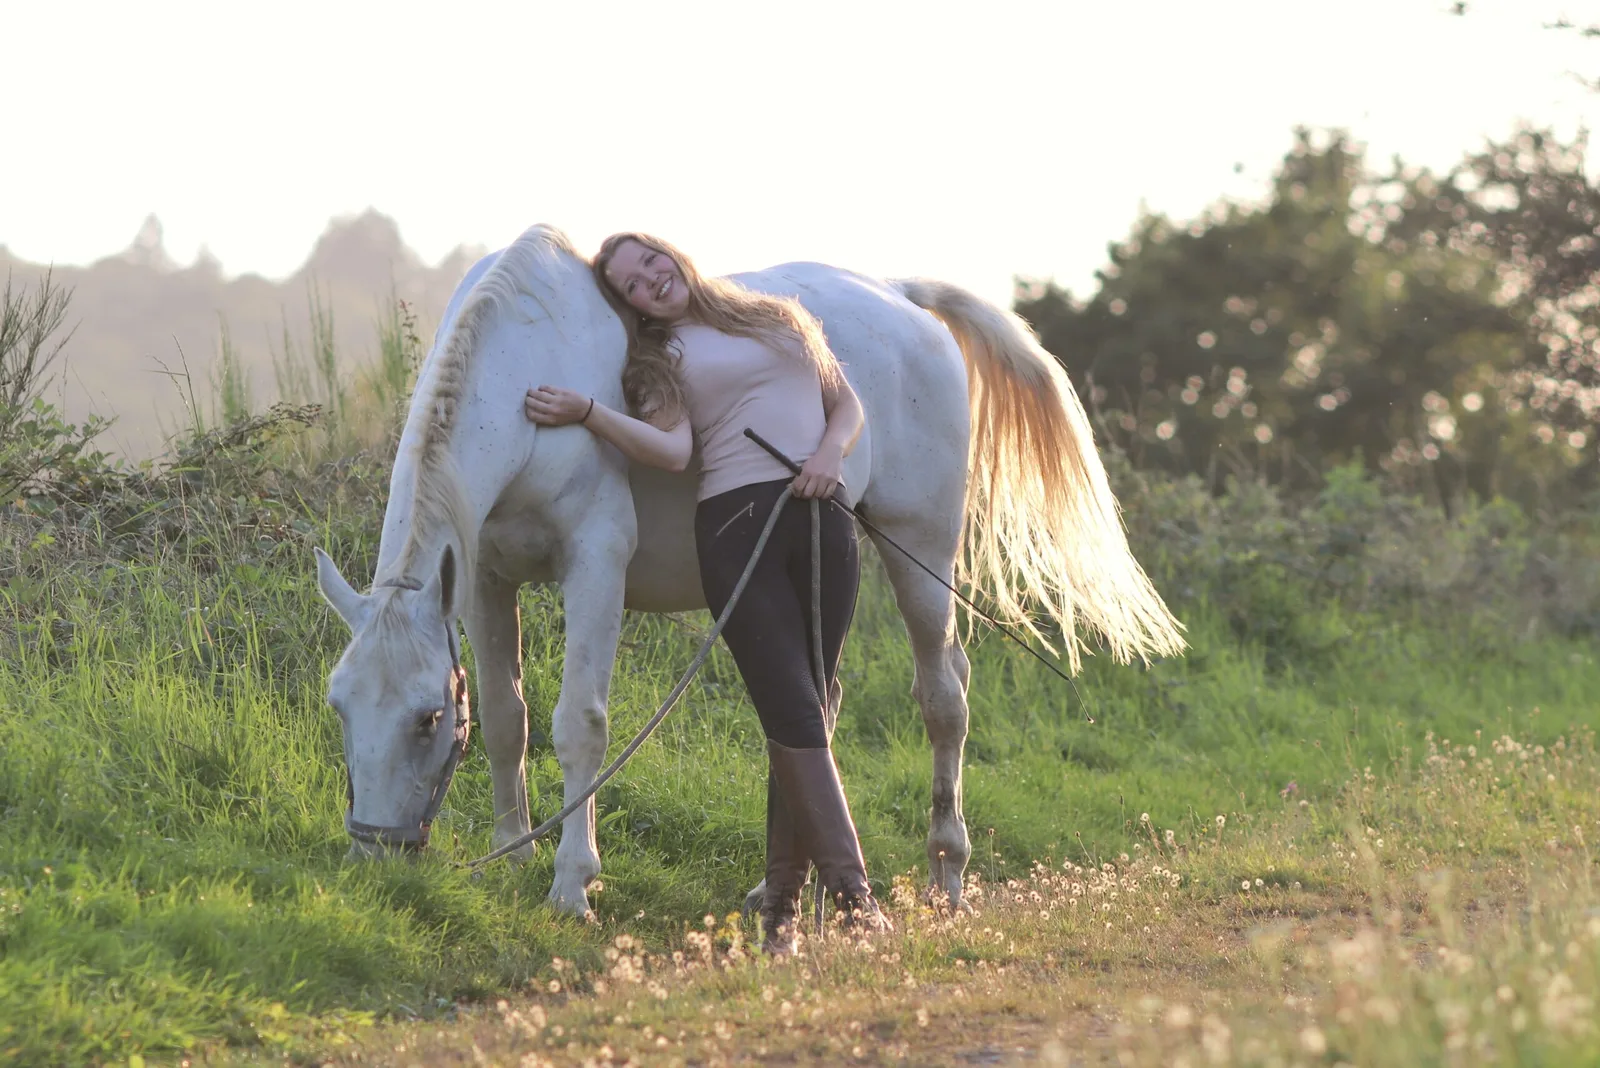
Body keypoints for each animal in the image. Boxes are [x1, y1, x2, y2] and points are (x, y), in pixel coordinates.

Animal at [313, 224, 1184, 918]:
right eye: (339, 707)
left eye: (426, 718)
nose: (376, 857)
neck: (527, 369)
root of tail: (903, 300)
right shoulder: (487, 582)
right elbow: (506, 719)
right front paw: (515, 854)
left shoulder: (595, 566)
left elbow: (579, 724)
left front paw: (572, 885)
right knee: (815, 703)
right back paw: (789, 885)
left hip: (922, 550)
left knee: (944, 700)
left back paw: (946, 874)